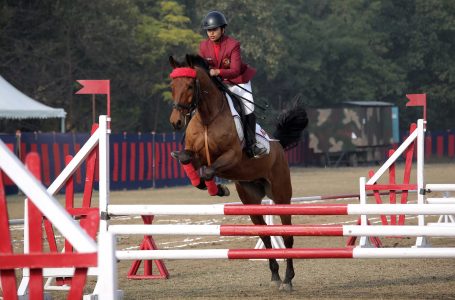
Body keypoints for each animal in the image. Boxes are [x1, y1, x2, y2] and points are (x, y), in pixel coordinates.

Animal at [168, 54, 310, 290]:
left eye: (189, 85)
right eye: (172, 86)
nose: (176, 122)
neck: (207, 118)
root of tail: (278, 144)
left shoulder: (231, 157)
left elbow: (208, 171)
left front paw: (219, 189)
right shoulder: (195, 155)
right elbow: (189, 161)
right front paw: (210, 187)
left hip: (281, 195)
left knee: (287, 235)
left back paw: (288, 279)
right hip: (251, 198)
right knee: (265, 235)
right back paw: (275, 275)